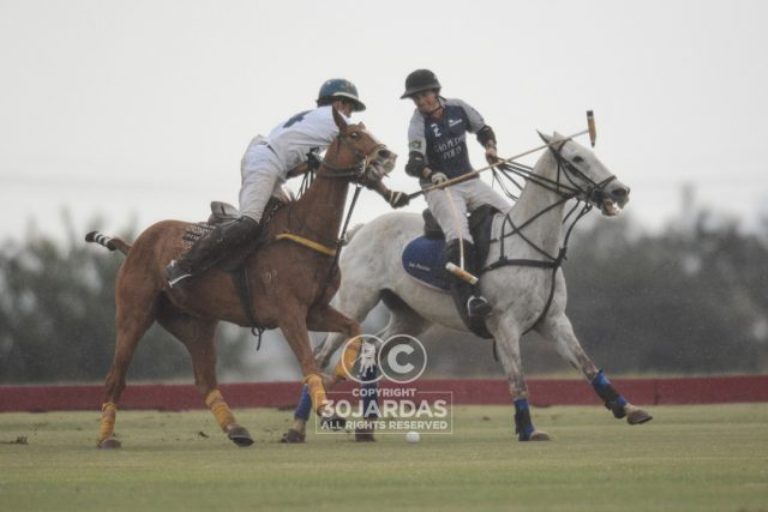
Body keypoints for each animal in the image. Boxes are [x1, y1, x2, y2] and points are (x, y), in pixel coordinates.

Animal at [88, 109, 396, 448]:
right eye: (354, 135)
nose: (387, 155)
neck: (306, 229)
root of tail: (133, 246)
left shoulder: (314, 311)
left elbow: (353, 329)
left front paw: (336, 378)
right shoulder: (289, 313)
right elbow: (308, 361)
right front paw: (328, 412)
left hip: (195, 323)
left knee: (204, 379)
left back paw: (236, 429)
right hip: (134, 314)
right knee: (115, 377)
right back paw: (106, 438)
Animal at [284, 131, 652, 440]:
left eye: (590, 153)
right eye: (576, 159)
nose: (620, 191)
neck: (531, 244)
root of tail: (360, 229)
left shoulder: (554, 321)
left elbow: (587, 365)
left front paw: (630, 408)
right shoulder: (505, 325)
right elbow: (518, 380)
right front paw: (528, 429)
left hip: (411, 318)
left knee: (370, 352)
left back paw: (364, 425)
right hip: (355, 302)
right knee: (321, 356)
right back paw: (298, 426)